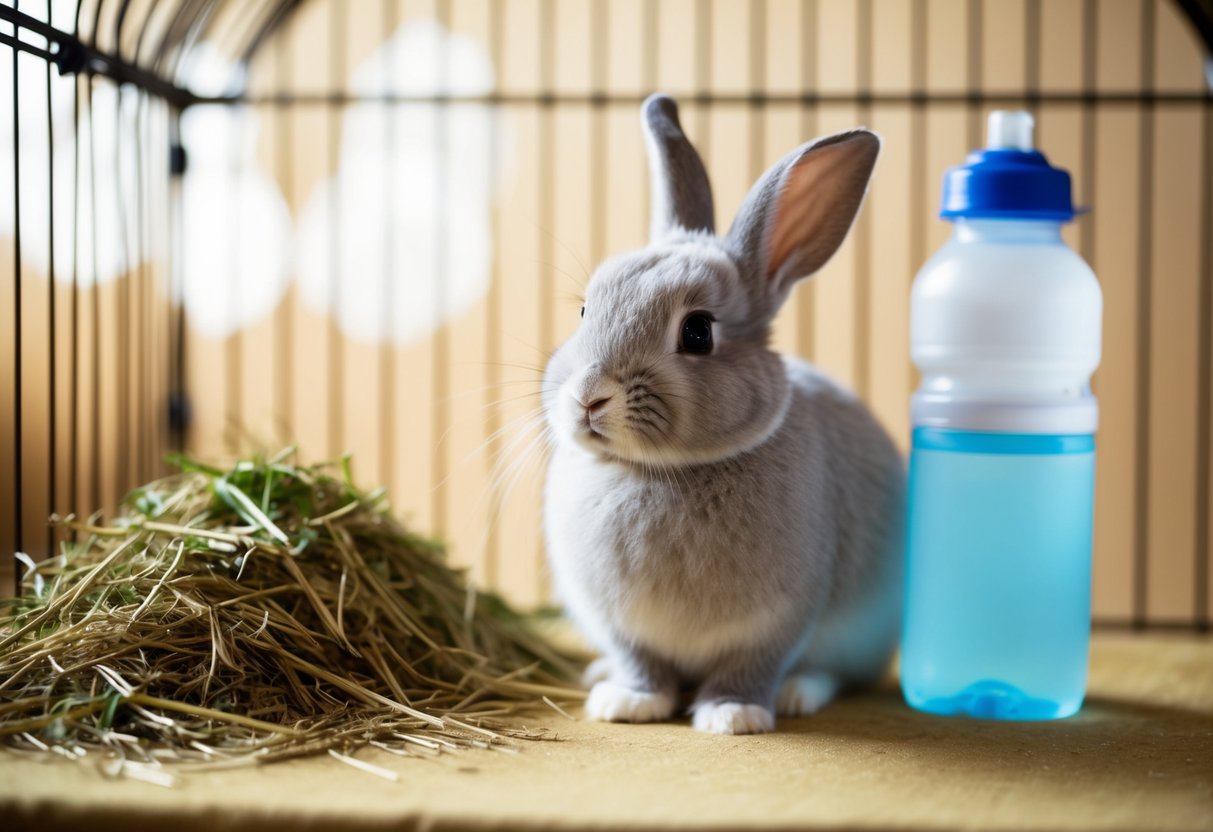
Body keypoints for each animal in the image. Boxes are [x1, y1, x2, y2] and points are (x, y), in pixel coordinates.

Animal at [542, 94, 904, 735]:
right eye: (585, 310)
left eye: (698, 332)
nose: (589, 396)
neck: (662, 471)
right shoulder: (621, 625)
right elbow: (640, 664)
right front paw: (627, 703)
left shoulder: (778, 619)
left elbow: (752, 666)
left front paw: (733, 715)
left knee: (831, 673)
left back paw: (798, 694)